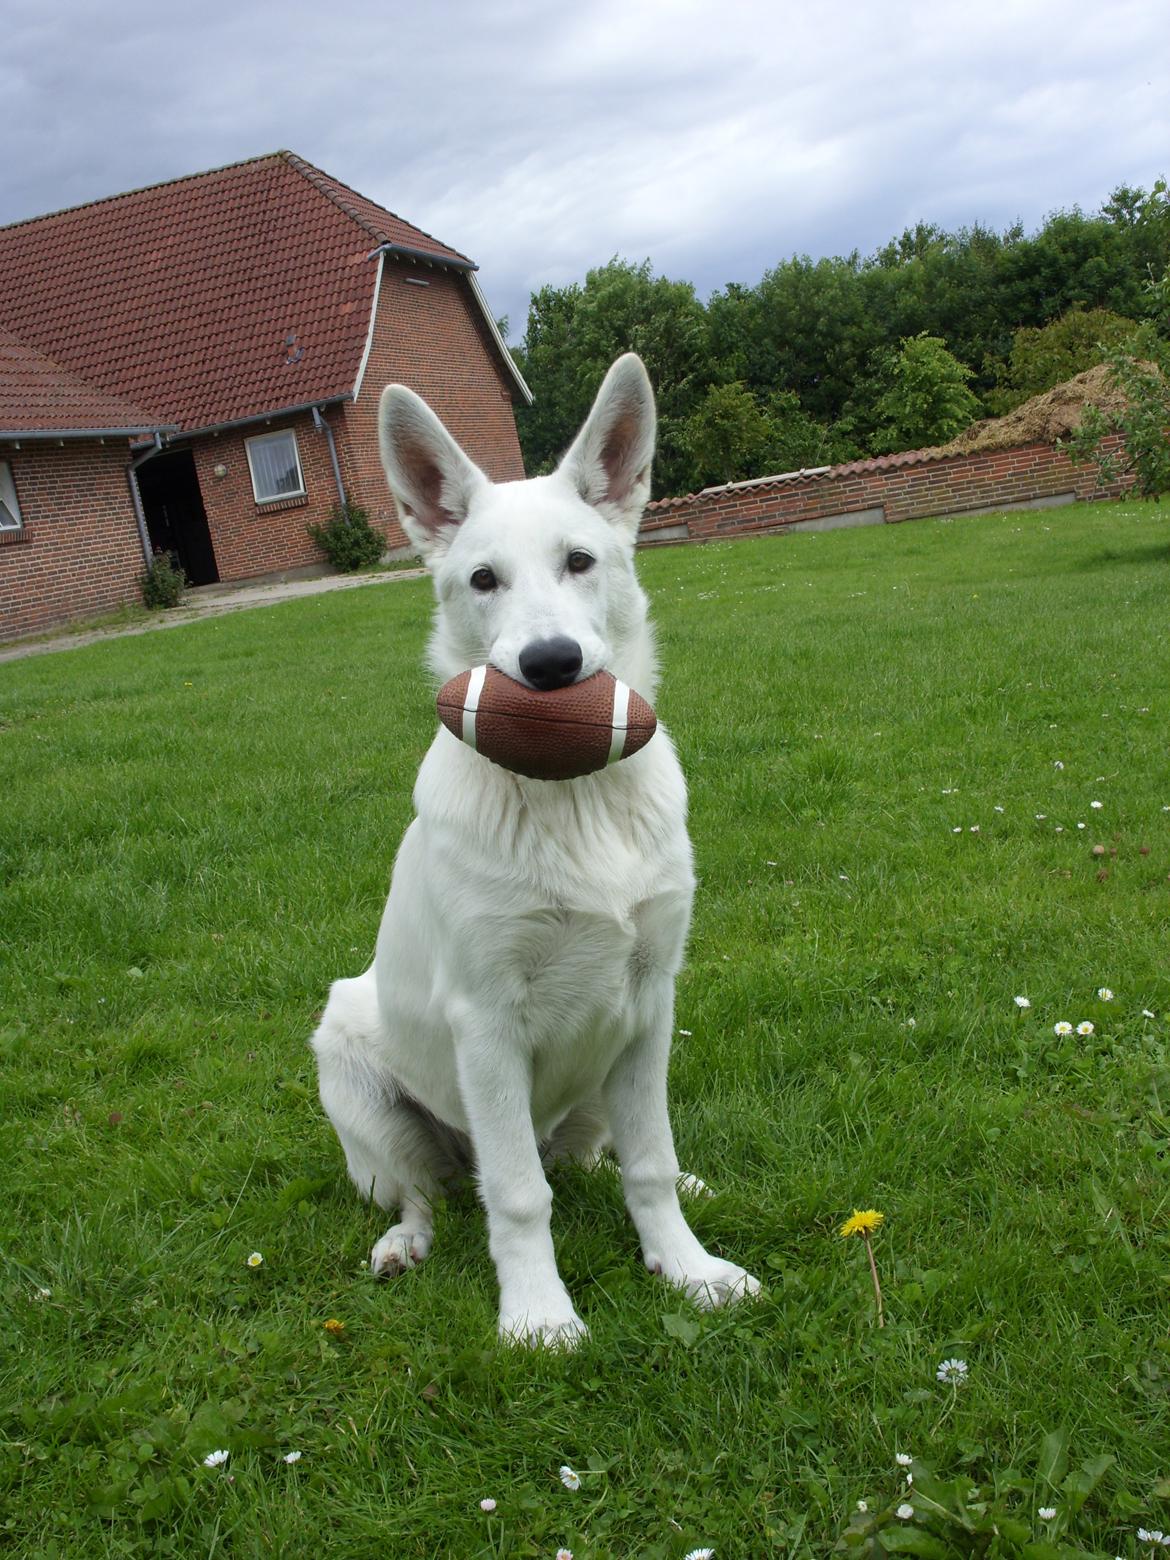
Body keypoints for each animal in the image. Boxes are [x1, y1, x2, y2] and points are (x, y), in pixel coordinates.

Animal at [308, 351, 761, 1341]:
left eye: (579, 562)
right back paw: (403, 1244)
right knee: (432, 1192)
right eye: (483, 579)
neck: (573, 798)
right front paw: (538, 1316)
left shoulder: (651, 999)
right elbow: (515, 1196)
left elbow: (649, 1165)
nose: (551, 667)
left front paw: (686, 1268)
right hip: (356, 1071)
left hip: (605, 1076)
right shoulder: (485, 1024)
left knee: (601, 1159)